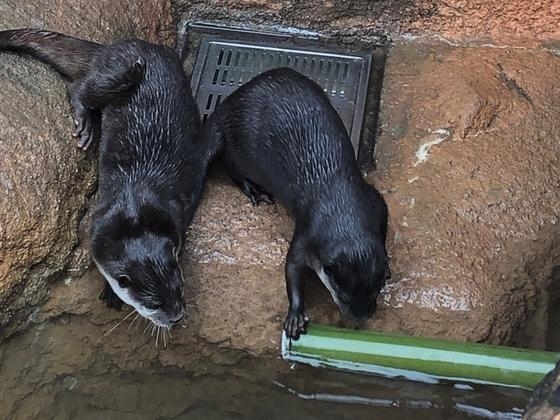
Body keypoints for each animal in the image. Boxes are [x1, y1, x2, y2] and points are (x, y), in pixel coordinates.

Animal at [0, 28, 212, 328]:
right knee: (82, 88)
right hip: (113, 72)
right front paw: (110, 292)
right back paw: (85, 120)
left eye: (178, 288)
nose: (175, 317)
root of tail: (116, 47)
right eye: (153, 304)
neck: (135, 211)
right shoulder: (97, 225)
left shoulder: (177, 213)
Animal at [203, 67, 392, 340]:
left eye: (375, 291)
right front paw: (295, 314)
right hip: (242, 148)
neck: (343, 209)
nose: (360, 316)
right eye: (342, 295)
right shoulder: (308, 233)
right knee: (232, 166)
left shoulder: (373, 202)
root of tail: (230, 103)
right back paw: (255, 191)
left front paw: (388, 265)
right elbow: (291, 267)